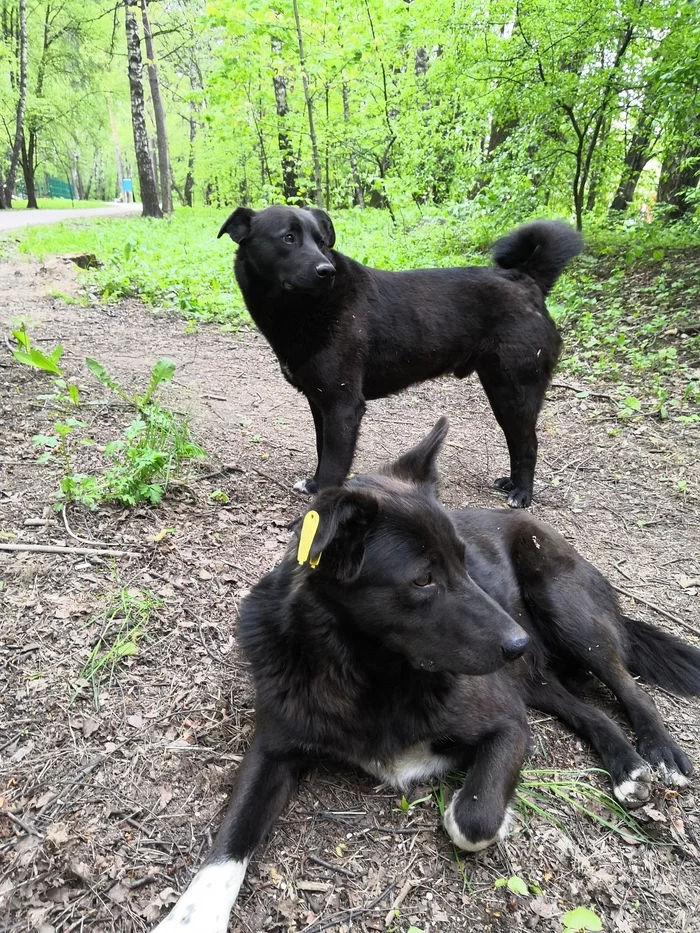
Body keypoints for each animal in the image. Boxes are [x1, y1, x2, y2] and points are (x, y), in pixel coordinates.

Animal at [150, 422, 696, 932]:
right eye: (423, 579)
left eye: (464, 559)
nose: (519, 642)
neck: (370, 673)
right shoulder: (272, 747)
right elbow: (230, 840)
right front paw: (191, 916)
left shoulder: (508, 724)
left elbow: (473, 818)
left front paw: (484, 814)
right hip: (533, 677)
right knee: (588, 712)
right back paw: (627, 768)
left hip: (565, 611)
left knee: (628, 685)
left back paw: (659, 753)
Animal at [219, 208, 584, 506]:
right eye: (289, 238)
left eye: (322, 241)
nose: (327, 270)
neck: (304, 310)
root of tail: (528, 280)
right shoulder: (319, 402)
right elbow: (323, 451)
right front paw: (313, 484)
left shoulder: (343, 405)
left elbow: (335, 465)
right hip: (500, 390)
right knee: (517, 443)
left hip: (516, 390)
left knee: (529, 445)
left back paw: (522, 494)